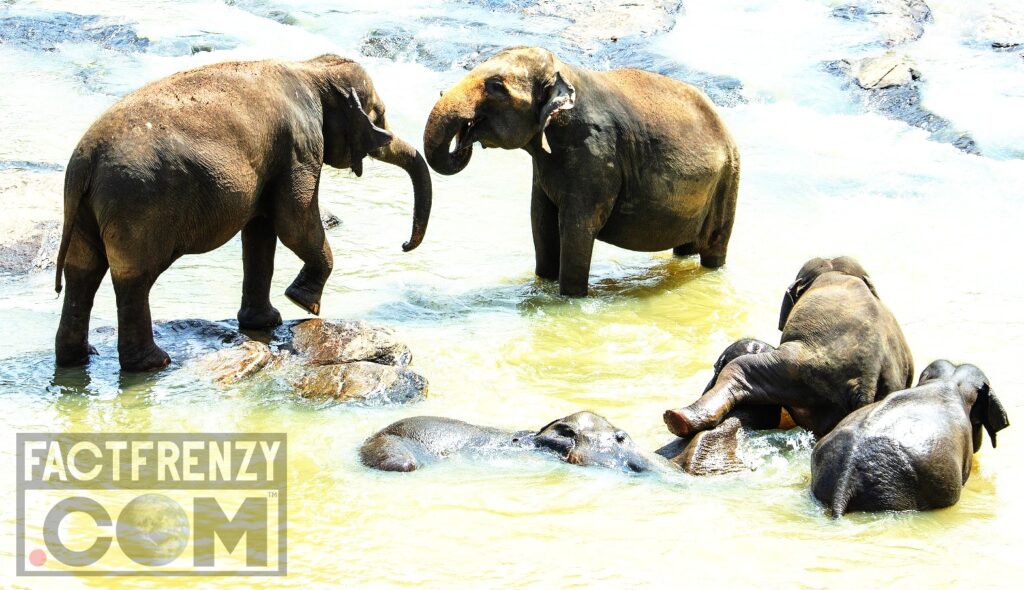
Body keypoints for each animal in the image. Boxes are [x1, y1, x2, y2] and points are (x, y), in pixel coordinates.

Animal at [53, 55, 431, 371]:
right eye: (379, 114)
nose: (403, 245)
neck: (311, 68)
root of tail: (84, 162)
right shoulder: (300, 146)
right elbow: (294, 223)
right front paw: (303, 304)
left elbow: (261, 232)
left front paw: (266, 322)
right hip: (137, 207)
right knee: (134, 279)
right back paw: (153, 364)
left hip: (89, 211)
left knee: (82, 273)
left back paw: (79, 358)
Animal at [422, 47, 740, 296]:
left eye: (497, 86)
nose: (465, 136)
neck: (565, 72)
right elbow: (540, 219)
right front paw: (543, 284)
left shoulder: (596, 154)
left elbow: (577, 227)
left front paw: (570, 299)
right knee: (684, 248)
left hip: (728, 179)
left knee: (715, 247)